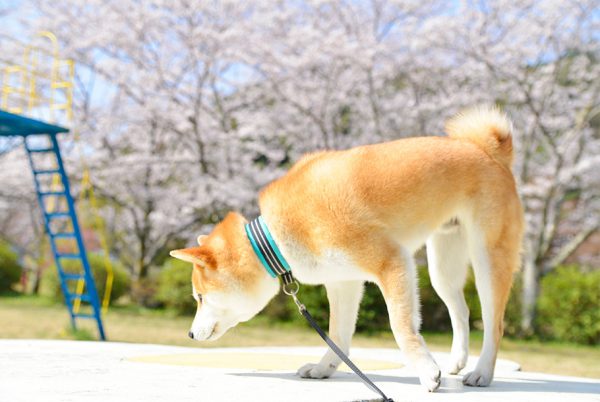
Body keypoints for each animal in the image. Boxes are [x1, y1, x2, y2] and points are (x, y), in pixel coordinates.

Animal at [169, 105, 520, 392]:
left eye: (200, 297)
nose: (188, 336)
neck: (277, 237)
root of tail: (488, 151)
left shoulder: (391, 261)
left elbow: (400, 327)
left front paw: (425, 372)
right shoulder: (343, 281)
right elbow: (337, 333)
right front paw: (324, 368)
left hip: (488, 257)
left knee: (494, 323)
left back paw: (481, 372)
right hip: (442, 267)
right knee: (461, 311)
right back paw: (457, 362)